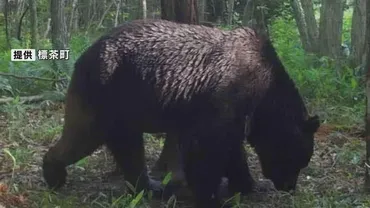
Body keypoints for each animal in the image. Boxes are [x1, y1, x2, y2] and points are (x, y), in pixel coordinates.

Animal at [42, 19, 320, 206]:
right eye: (298, 159)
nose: (288, 187)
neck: (264, 95)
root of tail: (85, 55)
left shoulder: (230, 113)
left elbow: (232, 150)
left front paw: (249, 184)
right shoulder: (226, 96)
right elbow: (208, 150)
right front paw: (210, 195)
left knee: (122, 146)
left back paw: (148, 186)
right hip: (109, 92)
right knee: (88, 136)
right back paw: (54, 173)